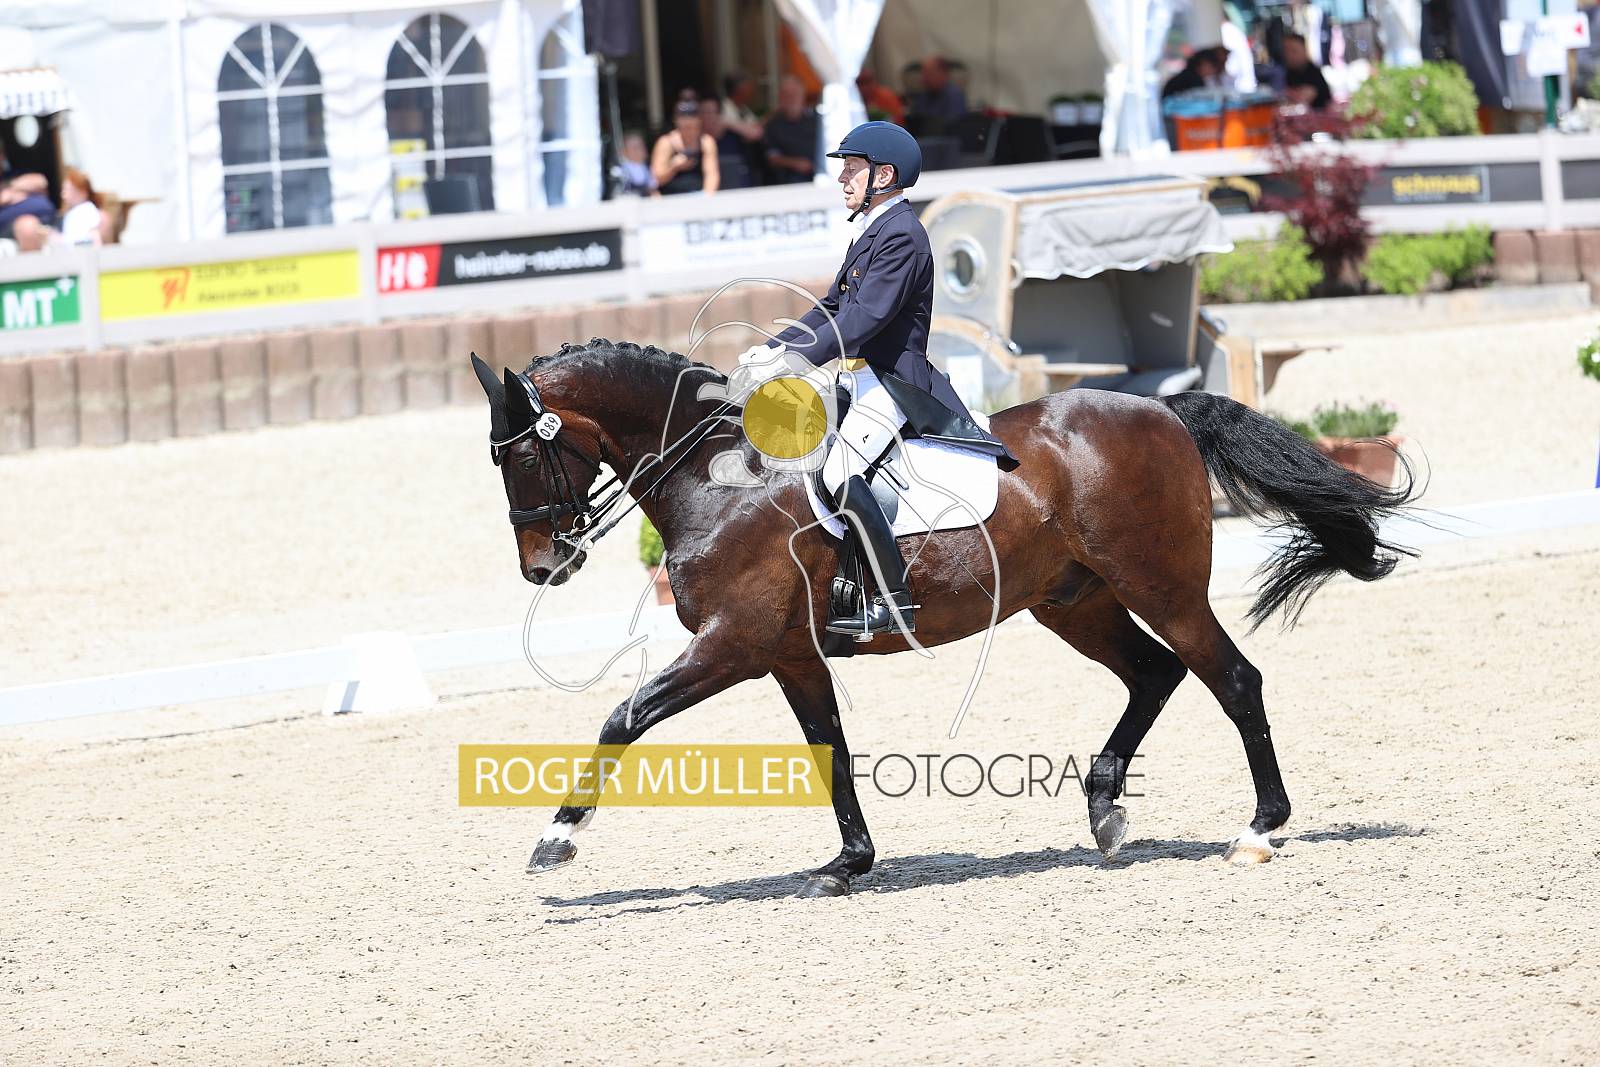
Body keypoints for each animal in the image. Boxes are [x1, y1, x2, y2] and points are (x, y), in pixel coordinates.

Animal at [470, 339, 1416, 897]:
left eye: (520, 456)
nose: (543, 566)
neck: (718, 475)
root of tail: (1161, 411)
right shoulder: (788, 654)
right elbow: (831, 751)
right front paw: (848, 864)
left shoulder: (731, 644)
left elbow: (622, 717)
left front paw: (556, 838)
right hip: (1075, 603)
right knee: (1158, 674)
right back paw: (1105, 810)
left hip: (1164, 589)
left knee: (1233, 679)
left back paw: (1258, 828)